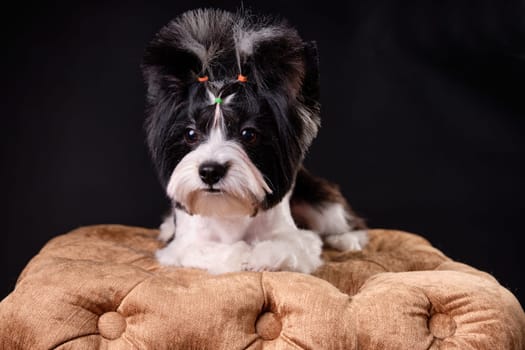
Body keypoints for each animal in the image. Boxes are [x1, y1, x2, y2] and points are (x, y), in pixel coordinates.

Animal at [141, 8, 366, 274]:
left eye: (248, 134)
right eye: (191, 134)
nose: (210, 171)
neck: (228, 211)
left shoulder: (298, 240)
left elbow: (289, 247)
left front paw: (260, 255)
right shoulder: (183, 246)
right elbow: (208, 250)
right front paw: (241, 255)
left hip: (317, 197)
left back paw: (348, 238)